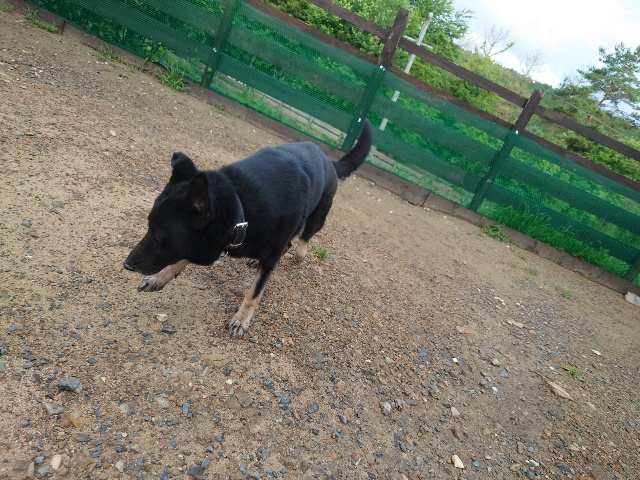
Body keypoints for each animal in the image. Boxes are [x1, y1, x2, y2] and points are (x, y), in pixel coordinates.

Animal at [123, 119, 372, 338]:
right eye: (149, 227)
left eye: (159, 236)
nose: (126, 265)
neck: (240, 207)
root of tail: (328, 161)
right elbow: (182, 257)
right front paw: (160, 277)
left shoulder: (267, 255)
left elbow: (254, 293)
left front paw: (241, 319)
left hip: (317, 217)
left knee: (302, 244)